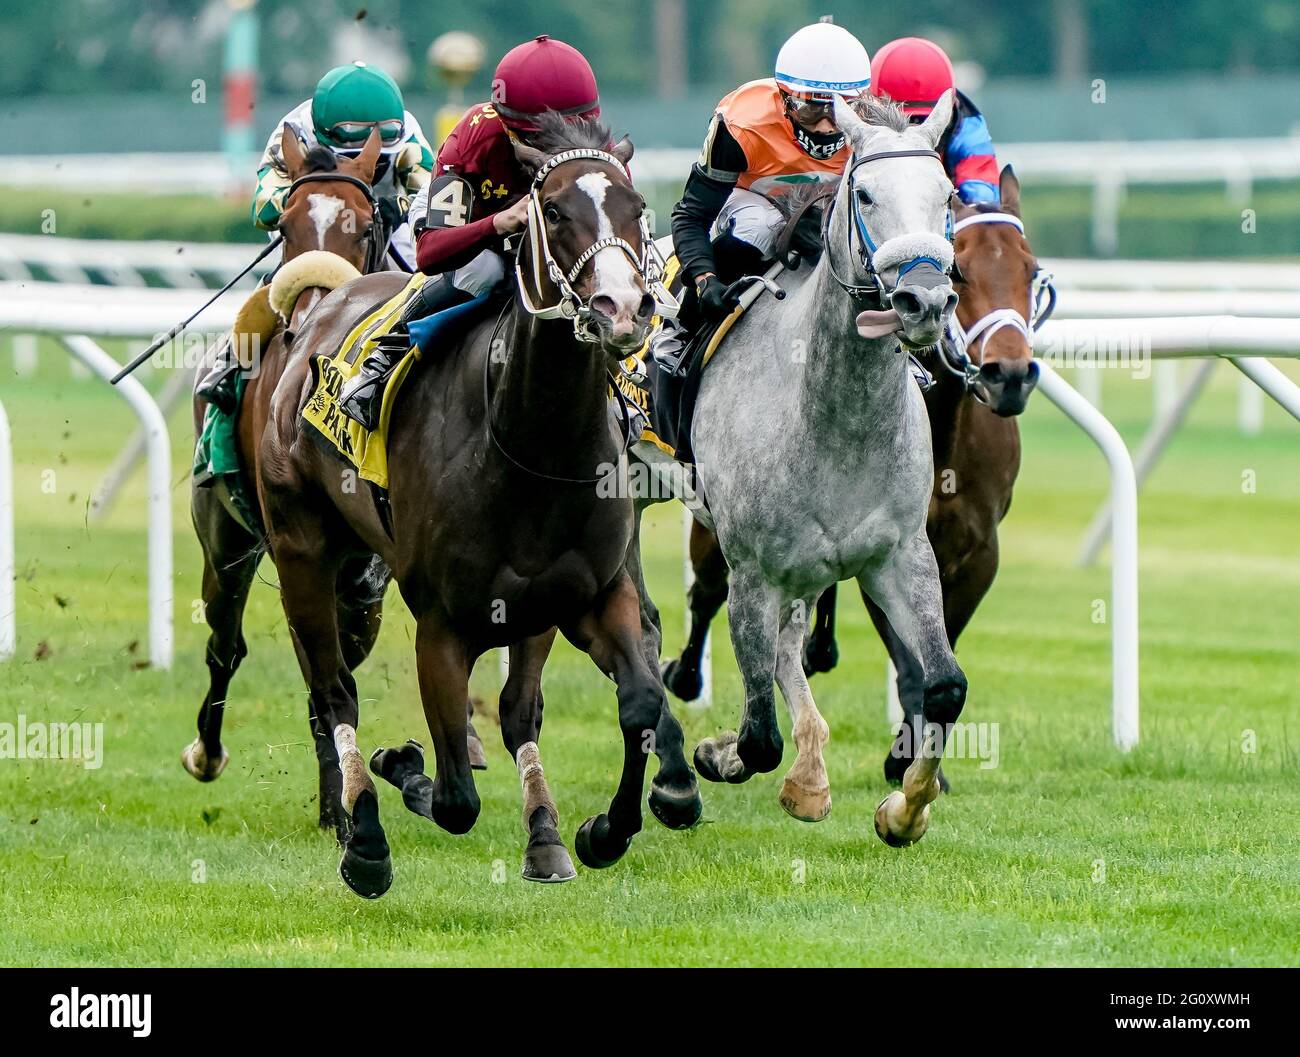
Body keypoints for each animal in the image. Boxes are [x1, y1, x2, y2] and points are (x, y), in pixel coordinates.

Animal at [208, 111, 702, 894]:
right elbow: (454, 797)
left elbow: (624, 702)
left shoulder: (574, 596)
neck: (530, 442)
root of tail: (316, 309)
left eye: (637, 207)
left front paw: (588, 831)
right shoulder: (439, 622)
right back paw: (363, 833)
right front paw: (403, 769)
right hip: (299, 549)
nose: (623, 308)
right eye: (553, 210)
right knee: (332, 688)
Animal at [639, 92, 967, 847]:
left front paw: (905, 809)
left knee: (790, 647)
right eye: (866, 194)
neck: (834, 419)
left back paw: (811, 768)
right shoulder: (751, 569)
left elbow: (942, 686)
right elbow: (758, 735)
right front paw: (714, 755)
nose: (926, 301)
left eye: (946, 194)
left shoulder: (898, 554)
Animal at [665, 163, 1050, 790]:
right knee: (707, 589)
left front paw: (920, 763)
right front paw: (903, 762)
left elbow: (940, 654)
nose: (1009, 376)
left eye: (1030, 270)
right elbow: (906, 664)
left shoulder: (968, 553)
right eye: (962, 273)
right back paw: (687, 676)